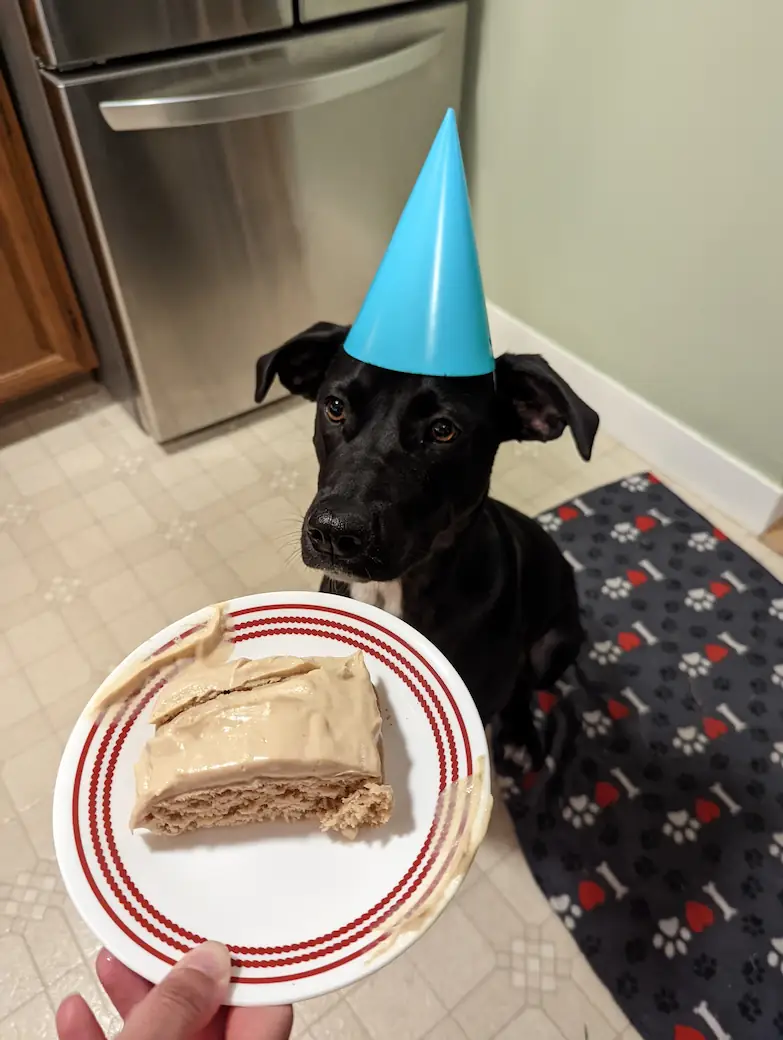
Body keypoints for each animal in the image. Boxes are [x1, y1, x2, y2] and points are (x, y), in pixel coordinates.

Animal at [253, 320, 594, 752]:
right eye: (334, 407)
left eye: (443, 430)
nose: (333, 532)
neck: (394, 590)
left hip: (553, 647)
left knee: (525, 685)